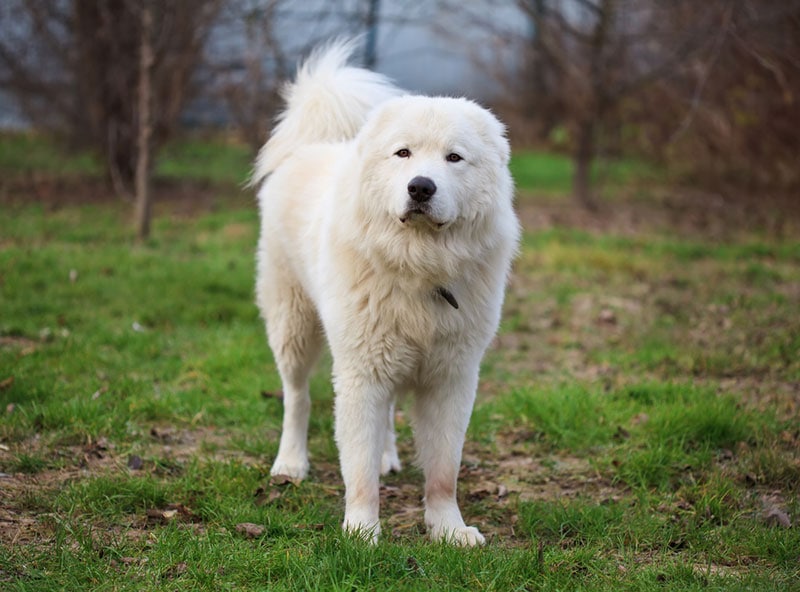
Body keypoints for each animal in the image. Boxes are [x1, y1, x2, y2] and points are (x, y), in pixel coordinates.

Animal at [253, 41, 520, 544]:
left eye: (454, 158)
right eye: (403, 153)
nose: (421, 187)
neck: (419, 264)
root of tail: (315, 144)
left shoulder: (450, 378)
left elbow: (443, 470)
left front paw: (448, 529)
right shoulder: (361, 373)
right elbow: (357, 471)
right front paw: (362, 533)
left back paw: (386, 457)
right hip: (293, 325)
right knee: (296, 397)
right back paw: (291, 463)